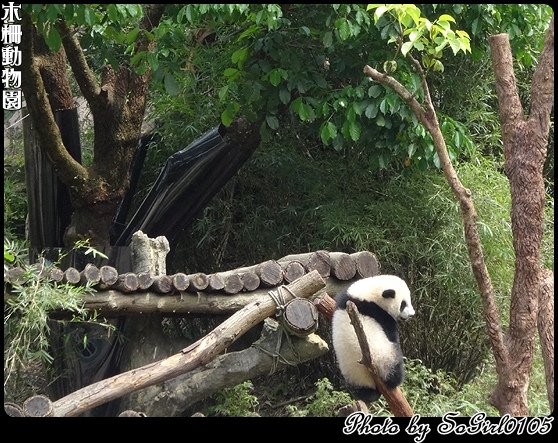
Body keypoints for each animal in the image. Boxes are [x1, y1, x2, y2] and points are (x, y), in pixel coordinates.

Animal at [332, 274, 416, 402]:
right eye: (403, 304)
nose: (412, 314)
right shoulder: (381, 315)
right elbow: (391, 334)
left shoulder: (343, 298)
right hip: (385, 359)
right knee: (393, 369)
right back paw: (395, 380)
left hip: (352, 374)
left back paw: (367, 394)